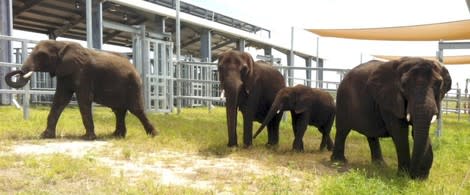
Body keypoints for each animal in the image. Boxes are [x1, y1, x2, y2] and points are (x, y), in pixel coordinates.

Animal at [4, 40, 158, 140]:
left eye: (41, 55)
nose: (19, 71)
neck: (61, 45)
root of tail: (134, 68)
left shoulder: (83, 73)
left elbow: (83, 99)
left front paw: (88, 138)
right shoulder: (64, 72)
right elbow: (60, 99)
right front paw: (45, 136)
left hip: (133, 85)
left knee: (136, 109)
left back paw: (153, 135)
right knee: (118, 111)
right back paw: (116, 136)